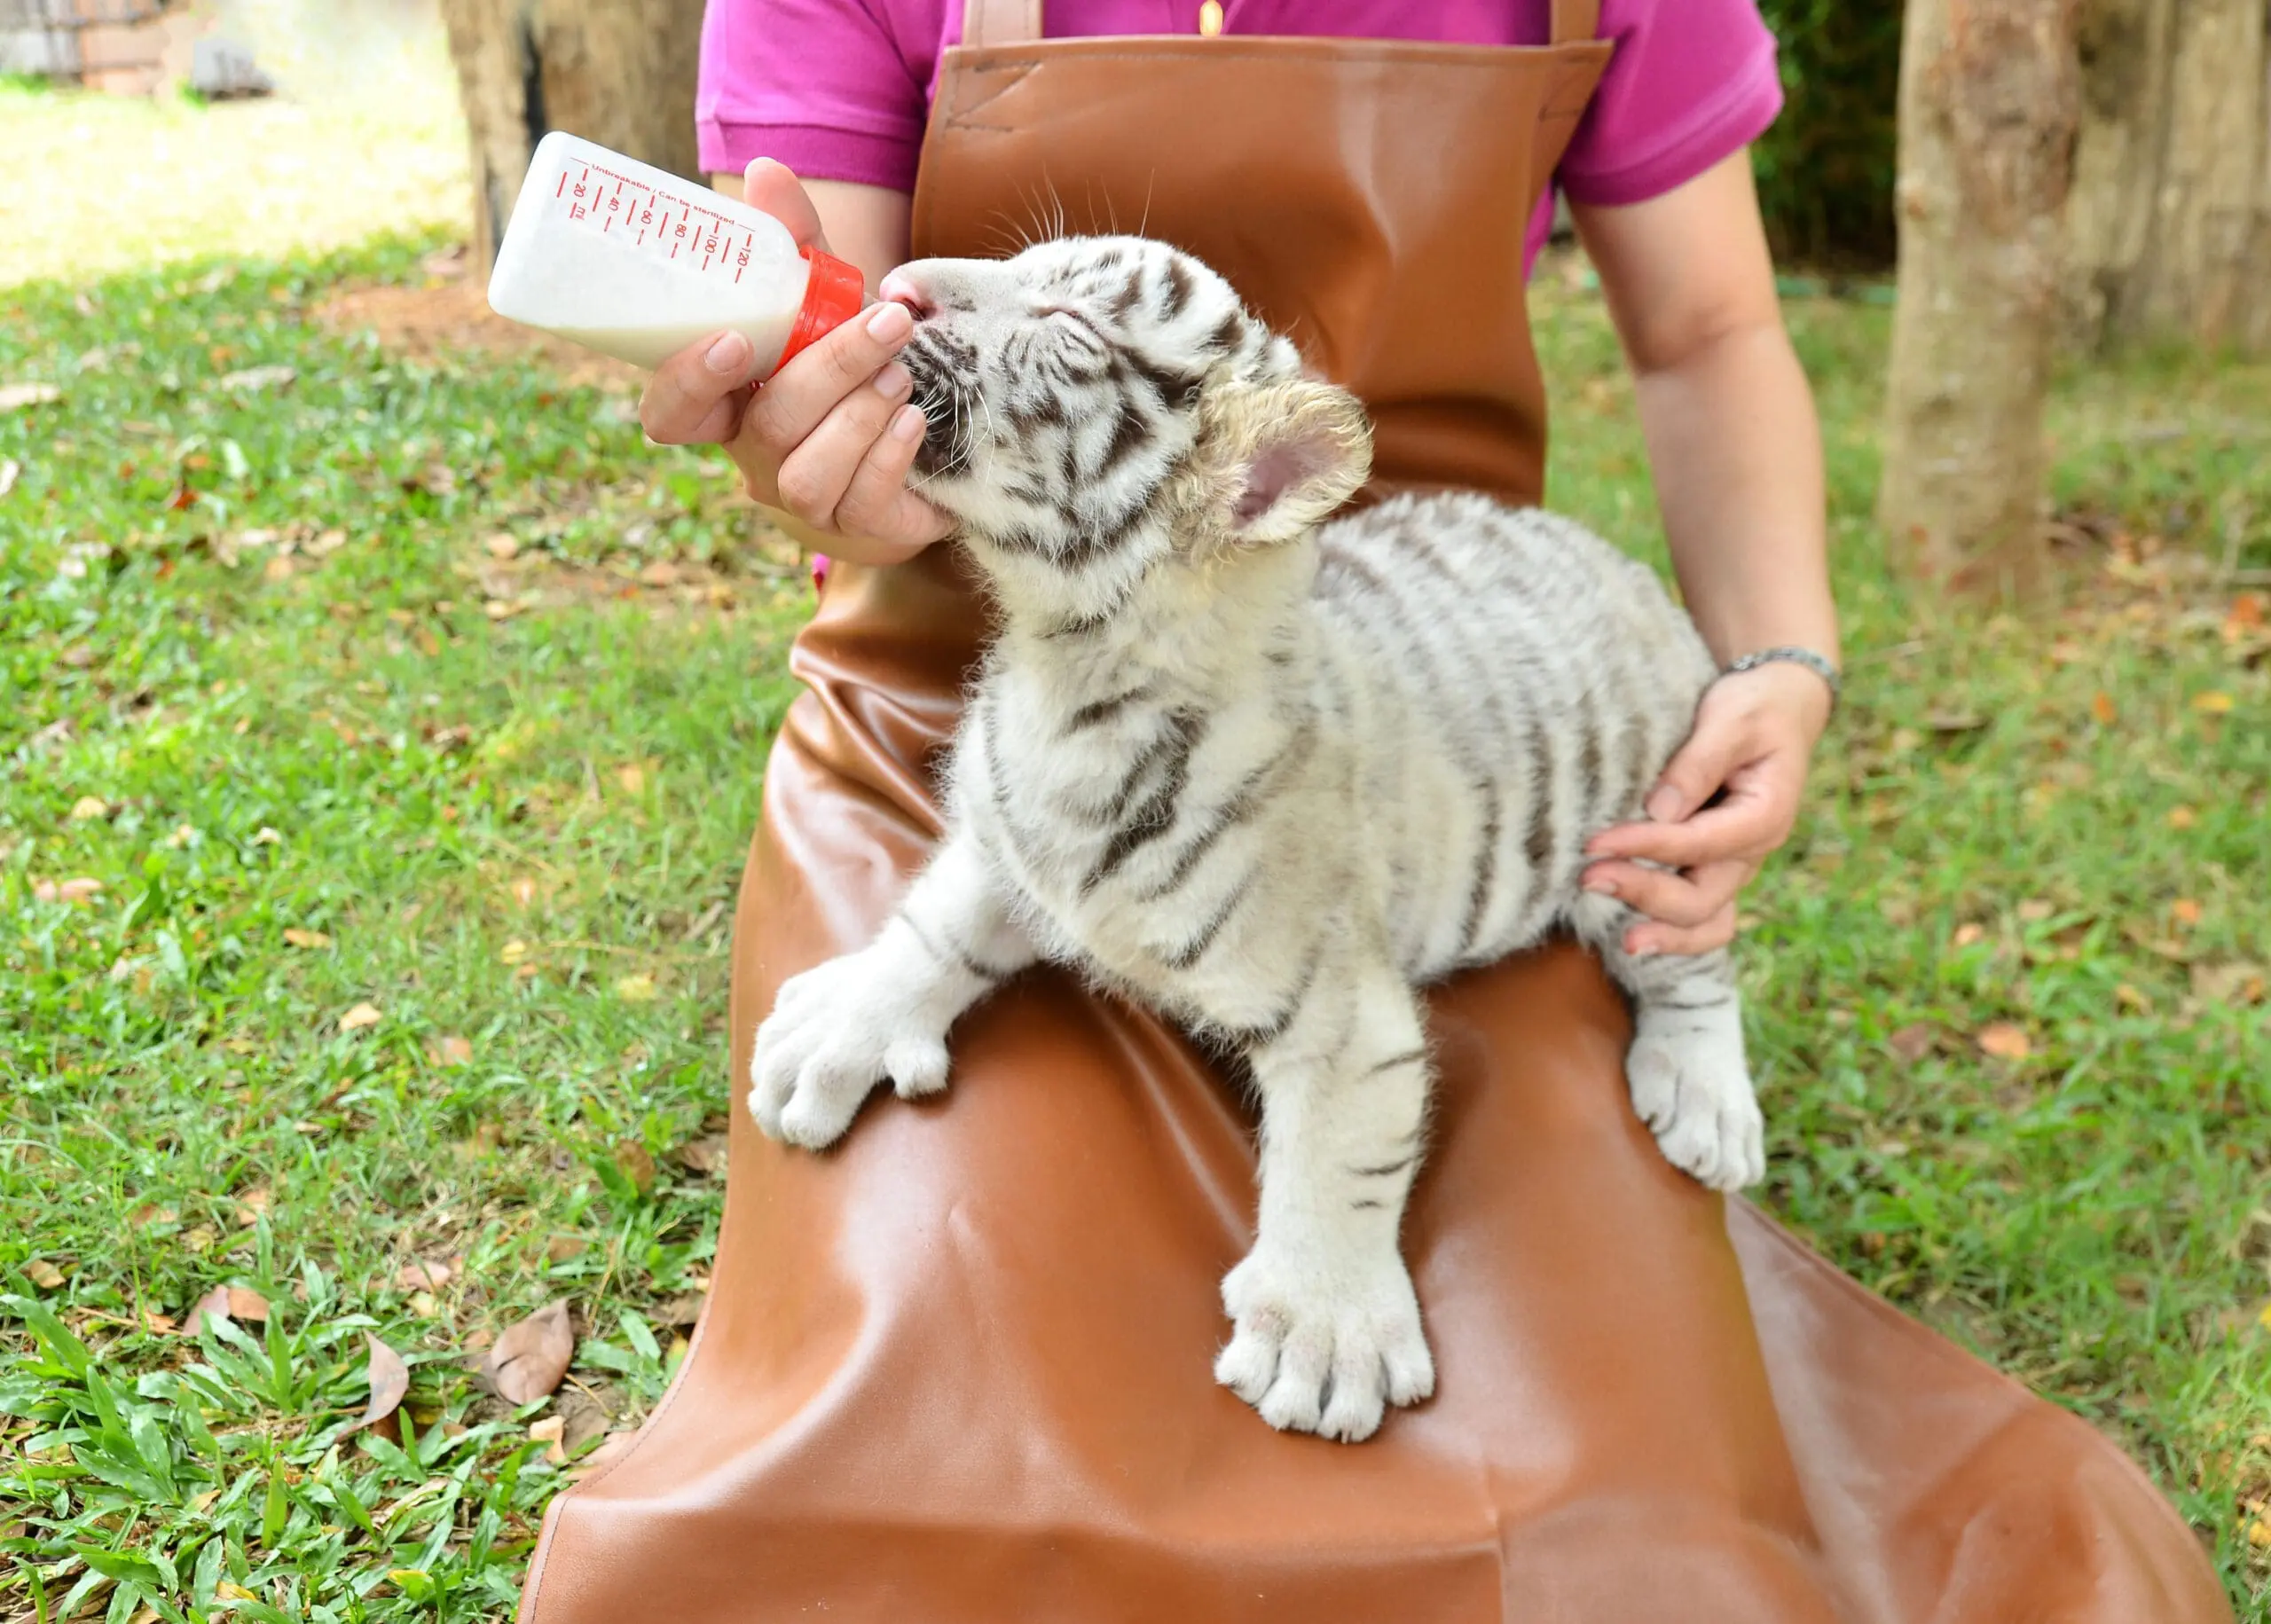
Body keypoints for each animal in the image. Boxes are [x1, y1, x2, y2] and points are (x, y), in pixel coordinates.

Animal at [749, 234, 1764, 1443]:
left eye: (1065, 323)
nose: (897, 286)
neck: (1072, 674)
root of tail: (1622, 566)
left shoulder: (1343, 1010)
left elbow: (1340, 1155)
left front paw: (1321, 1333)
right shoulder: (1014, 849)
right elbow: (930, 930)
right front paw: (832, 1031)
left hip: (1651, 833)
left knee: (1695, 964)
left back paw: (1706, 1100)